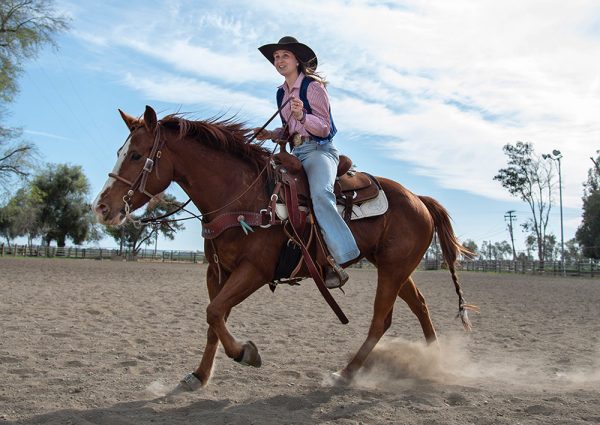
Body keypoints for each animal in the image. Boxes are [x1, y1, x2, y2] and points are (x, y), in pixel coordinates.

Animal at [92, 106, 474, 388]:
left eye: (136, 155)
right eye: (120, 152)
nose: (102, 207)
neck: (241, 195)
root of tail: (419, 199)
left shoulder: (255, 271)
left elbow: (214, 313)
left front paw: (246, 353)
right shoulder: (217, 272)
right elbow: (214, 319)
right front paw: (199, 376)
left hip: (393, 269)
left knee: (381, 319)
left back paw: (346, 373)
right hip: (395, 267)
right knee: (420, 305)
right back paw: (434, 361)